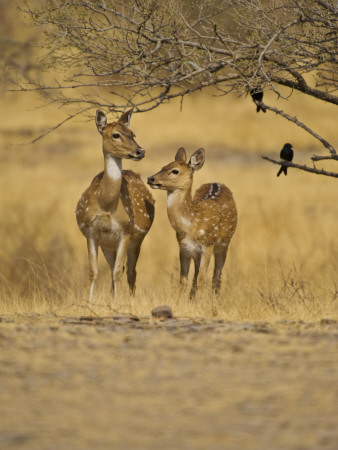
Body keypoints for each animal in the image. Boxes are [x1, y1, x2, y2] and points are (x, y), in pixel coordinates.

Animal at [75, 109, 154, 302]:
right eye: (116, 135)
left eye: (133, 134)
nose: (140, 151)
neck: (107, 205)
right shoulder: (91, 232)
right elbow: (93, 272)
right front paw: (89, 303)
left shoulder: (126, 231)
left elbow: (118, 272)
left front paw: (117, 304)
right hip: (108, 246)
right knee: (115, 270)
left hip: (137, 240)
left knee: (130, 272)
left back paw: (130, 300)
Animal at [148, 148, 238, 298]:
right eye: (163, 167)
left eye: (175, 171)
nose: (150, 178)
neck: (192, 225)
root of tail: (216, 182)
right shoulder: (184, 248)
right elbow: (184, 280)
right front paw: (180, 300)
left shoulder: (208, 245)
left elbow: (202, 278)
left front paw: (201, 301)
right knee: (196, 276)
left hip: (224, 244)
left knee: (216, 276)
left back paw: (215, 298)